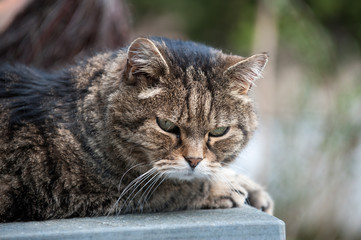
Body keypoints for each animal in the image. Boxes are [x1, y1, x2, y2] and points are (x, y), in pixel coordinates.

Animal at [0, 36, 272, 222]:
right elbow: (171, 187)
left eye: (218, 132)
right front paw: (223, 188)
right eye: (167, 126)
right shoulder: (83, 191)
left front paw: (245, 185)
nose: (194, 160)